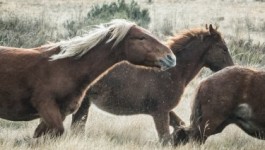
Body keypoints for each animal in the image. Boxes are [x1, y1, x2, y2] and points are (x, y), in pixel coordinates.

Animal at [71, 24, 233, 144]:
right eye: (223, 49)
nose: (231, 68)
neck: (173, 72)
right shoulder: (160, 112)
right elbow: (165, 139)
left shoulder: (166, 111)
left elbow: (179, 125)